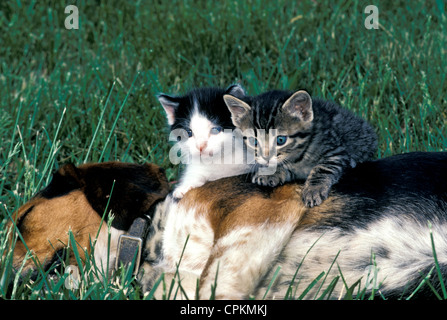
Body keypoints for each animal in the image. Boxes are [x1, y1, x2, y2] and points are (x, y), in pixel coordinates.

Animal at [224, 89, 378, 208]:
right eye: (254, 141)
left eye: (280, 140)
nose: (266, 157)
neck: (299, 155)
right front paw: (271, 172)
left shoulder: (336, 151)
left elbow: (323, 167)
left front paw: (314, 189)